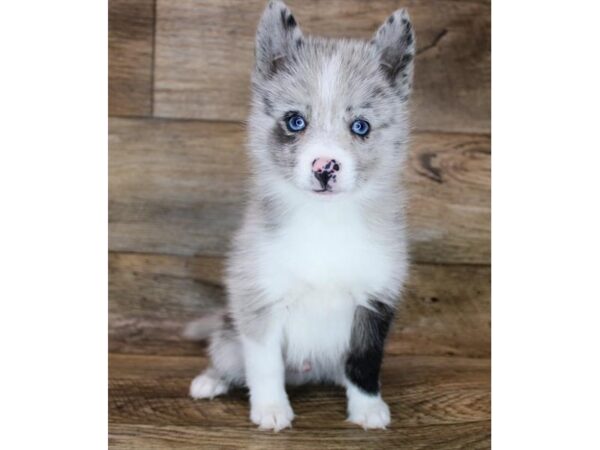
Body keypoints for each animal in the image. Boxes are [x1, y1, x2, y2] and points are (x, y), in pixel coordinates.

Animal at [190, 0, 414, 432]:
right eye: (296, 121)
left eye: (360, 126)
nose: (325, 167)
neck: (324, 222)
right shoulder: (259, 300)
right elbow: (264, 366)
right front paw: (271, 410)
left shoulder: (374, 301)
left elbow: (364, 364)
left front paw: (368, 410)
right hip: (229, 336)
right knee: (228, 357)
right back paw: (211, 381)